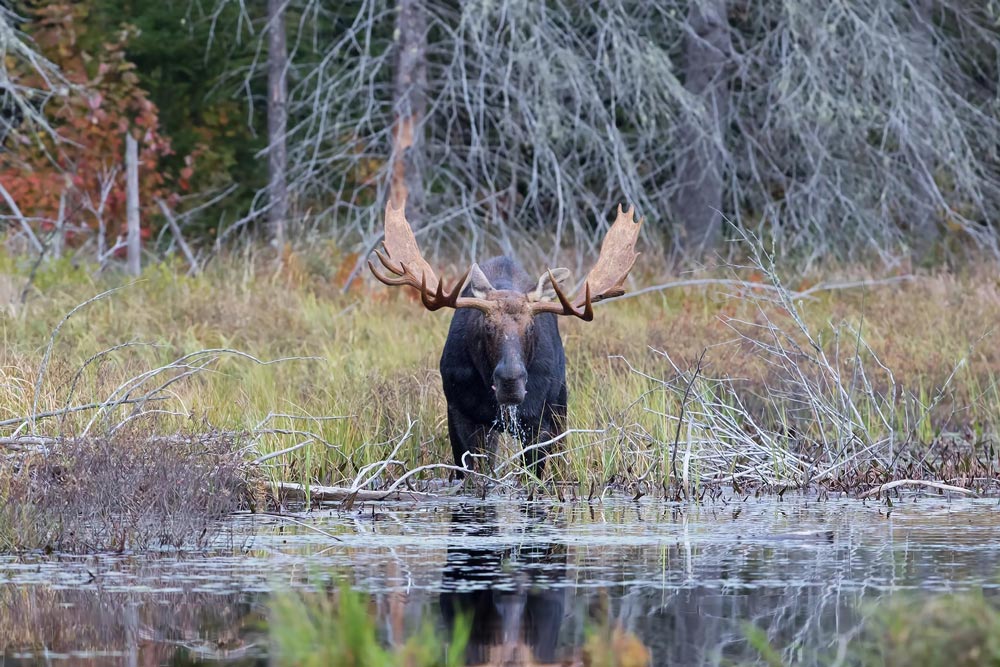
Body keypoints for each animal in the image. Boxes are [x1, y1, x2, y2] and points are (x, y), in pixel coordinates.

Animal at [370, 197, 640, 474]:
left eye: (530, 327)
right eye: (487, 326)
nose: (511, 381)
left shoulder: (538, 420)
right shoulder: (459, 412)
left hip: (560, 405)